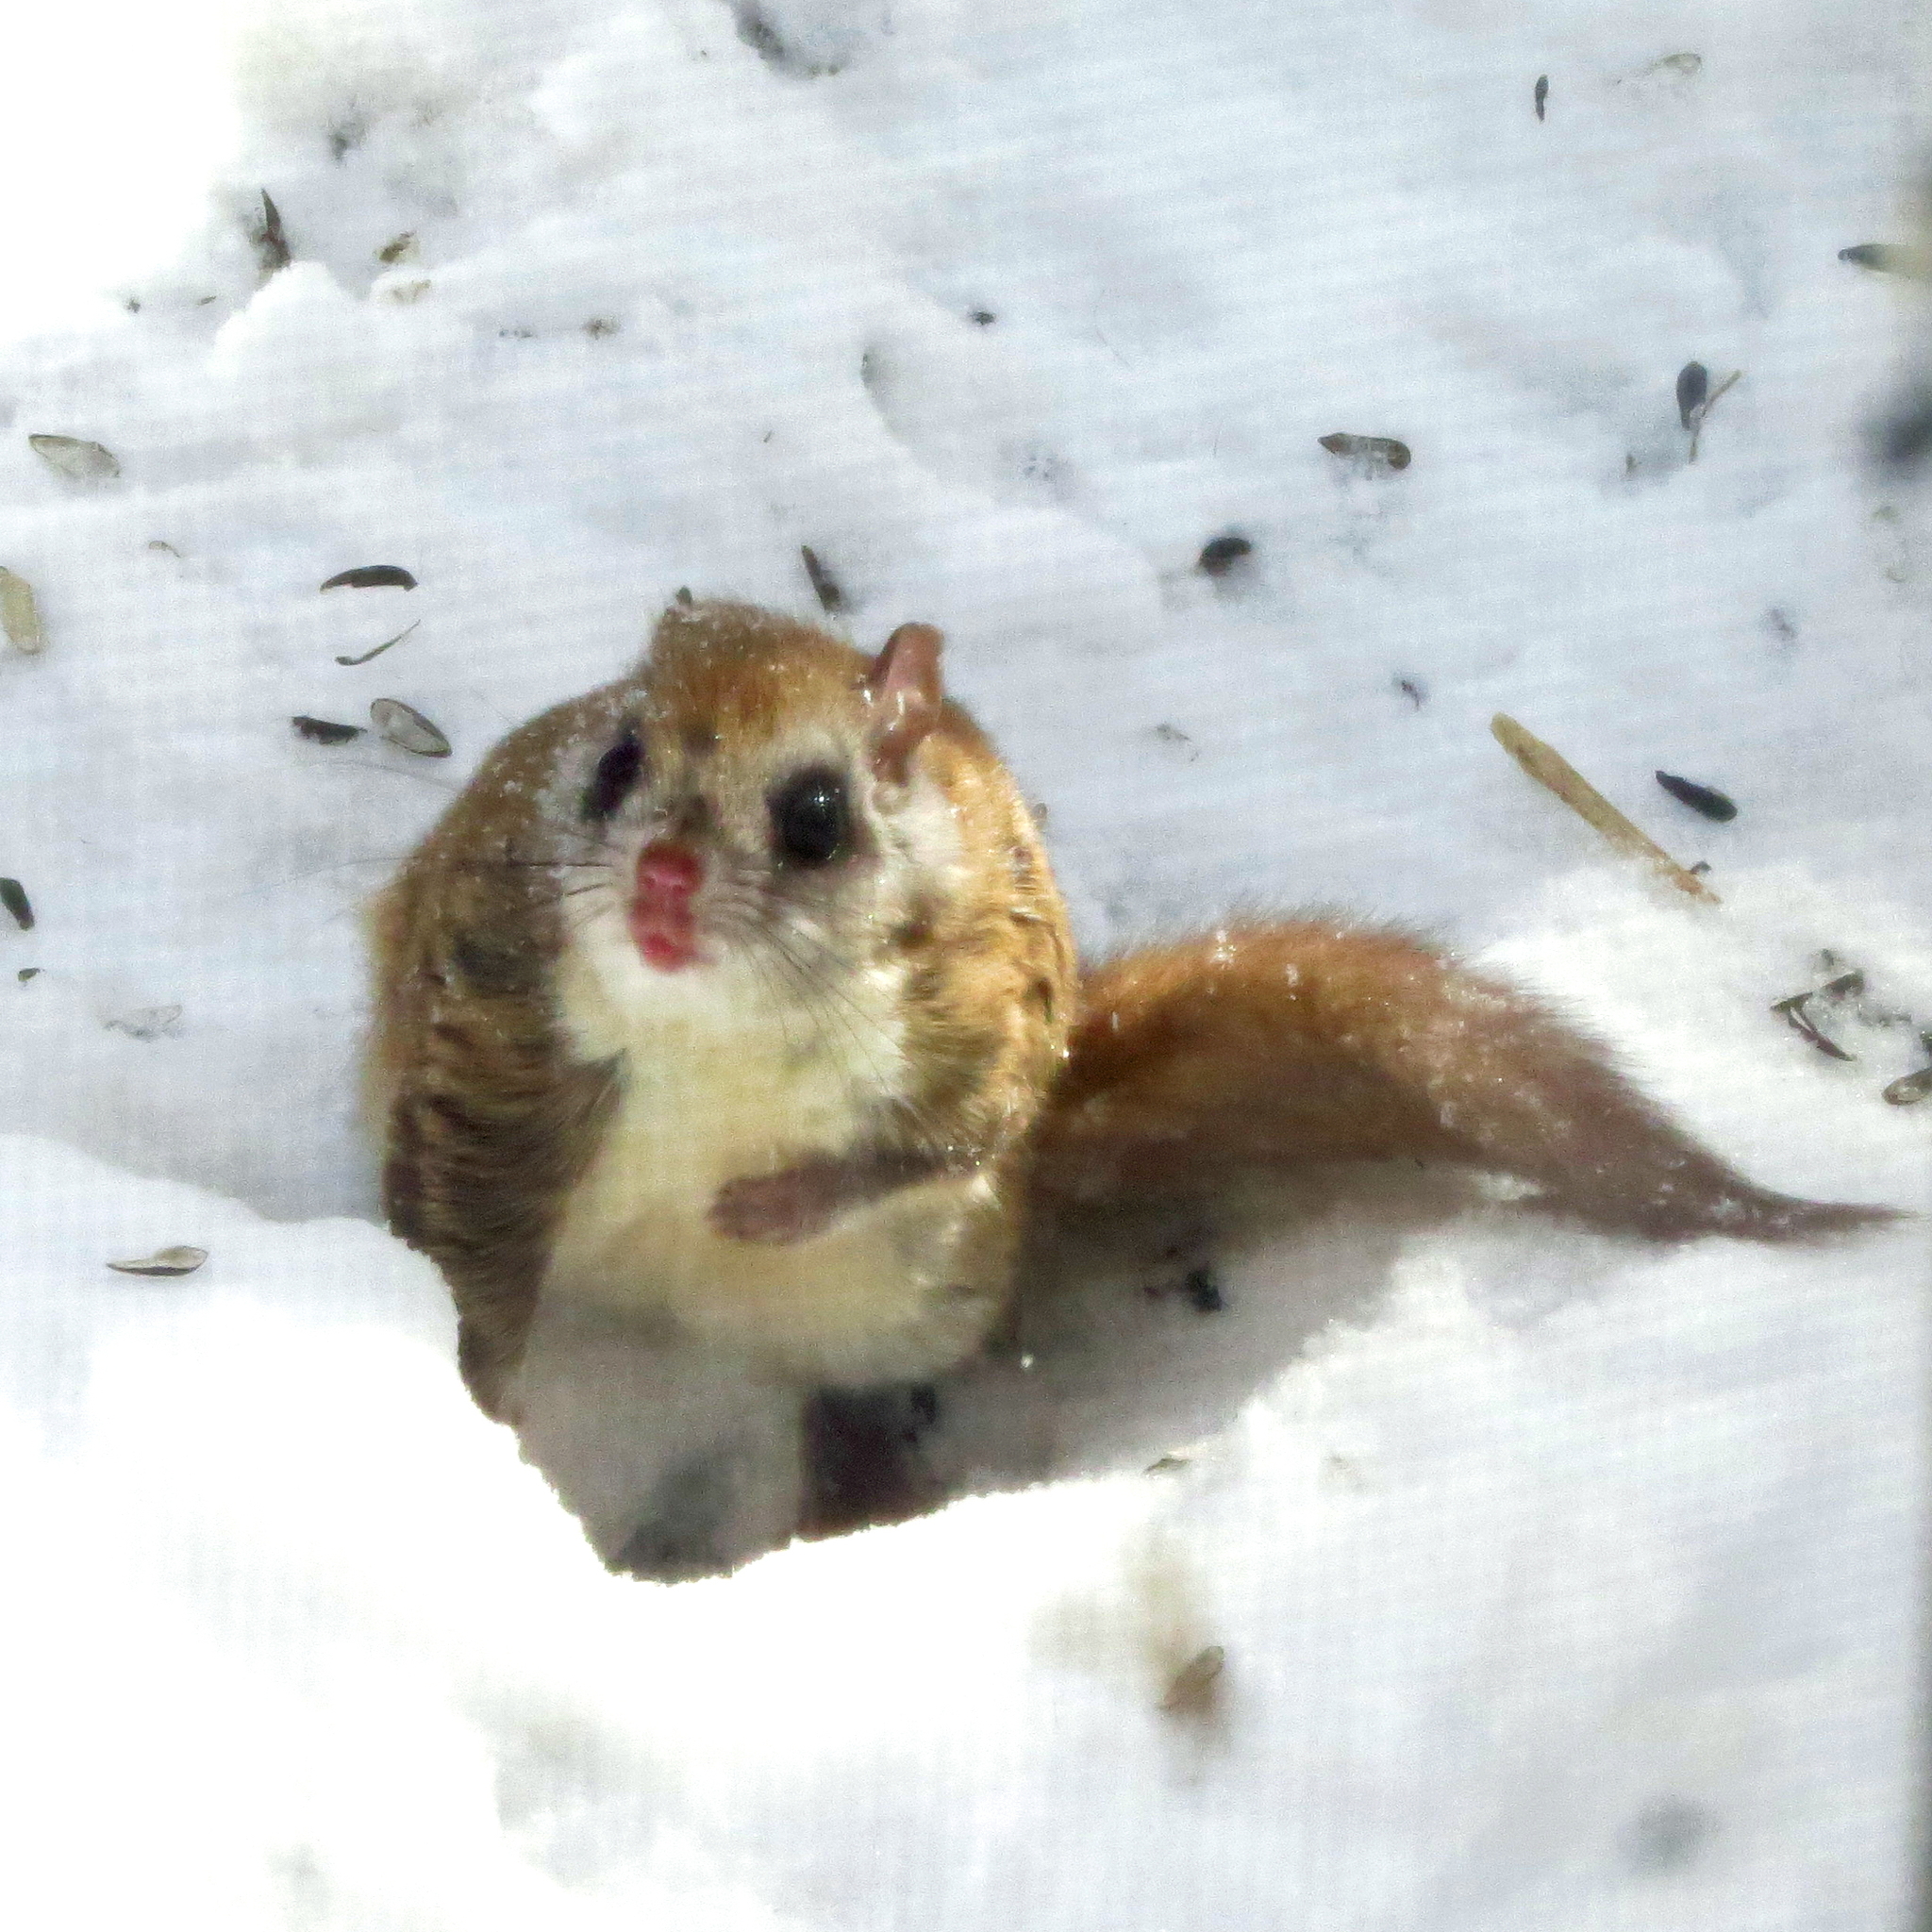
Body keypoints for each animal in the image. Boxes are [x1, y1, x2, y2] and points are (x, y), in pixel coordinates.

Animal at [365, 594, 1901, 1576]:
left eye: (815, 815)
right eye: (615, 762)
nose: (664, 883)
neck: (721, 1026)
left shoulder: (989, 1017)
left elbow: (946, 1136)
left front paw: (781, 1200)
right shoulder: (498, 1026)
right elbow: (480, 1214)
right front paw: (484, 1393)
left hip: (892, 1312)